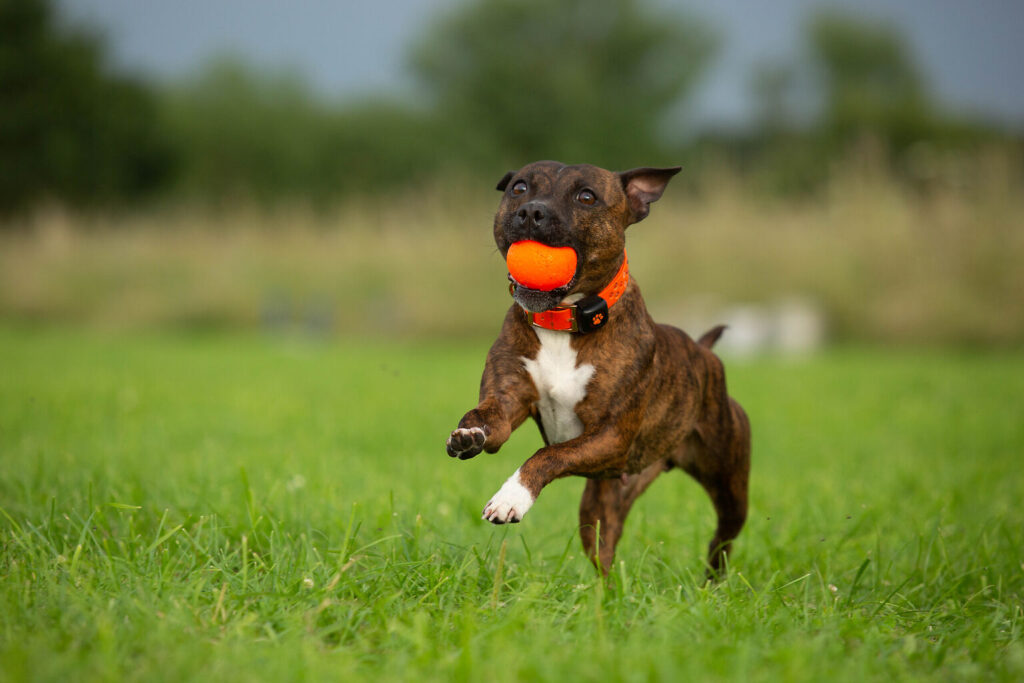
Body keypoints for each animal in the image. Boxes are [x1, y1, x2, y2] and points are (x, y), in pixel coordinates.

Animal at [444, 162, 749, 573]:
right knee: (604, 552)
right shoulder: (507, 401)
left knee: (723, 540)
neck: (563, 322)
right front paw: (468, 434)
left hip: (731, 486)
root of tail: (704, 352)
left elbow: (548, 455)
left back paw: (712, 581)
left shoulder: (610, 436)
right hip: (603, 503)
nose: (531, 211)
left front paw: (512, 497)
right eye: (518, 188)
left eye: (586, 196)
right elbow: (488, 420)